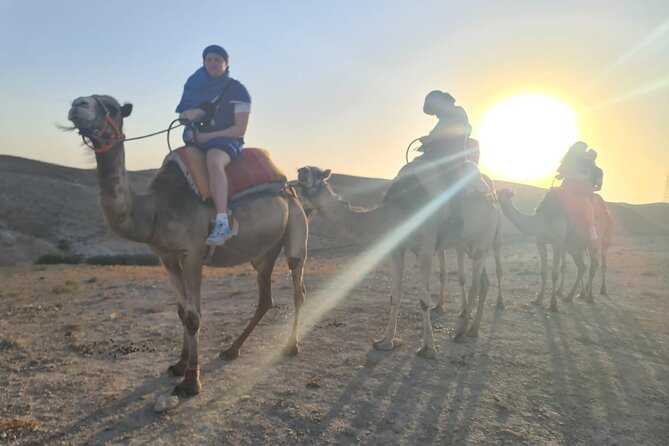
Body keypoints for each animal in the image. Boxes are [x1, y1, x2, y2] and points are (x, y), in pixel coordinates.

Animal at [68, 95, 308, 398]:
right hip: (264, 252)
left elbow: (194, 316)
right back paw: (232, 350)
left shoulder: (193, 254)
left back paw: (291, 345)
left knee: (298, 287)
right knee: (266, 297)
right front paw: (179, 365)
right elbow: (181, 311)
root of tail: (289, 187)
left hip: (297, 228)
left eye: (111, 107)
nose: (78, 104)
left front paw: (191, 382)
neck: (155, 209)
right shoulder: (167, 257)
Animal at [298, 164, 500, 352]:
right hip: (469, 244)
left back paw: (461, 332)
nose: (301, 171)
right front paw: (386, 341)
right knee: (483, 283)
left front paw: (428, 347)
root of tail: (492, 197)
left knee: (474, 286)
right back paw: (473, 330)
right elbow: (395, 295)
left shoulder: (425, 249)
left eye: (317, 173)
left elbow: (424, 298)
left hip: (483, 241)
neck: (398, 212)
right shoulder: (396, 250)